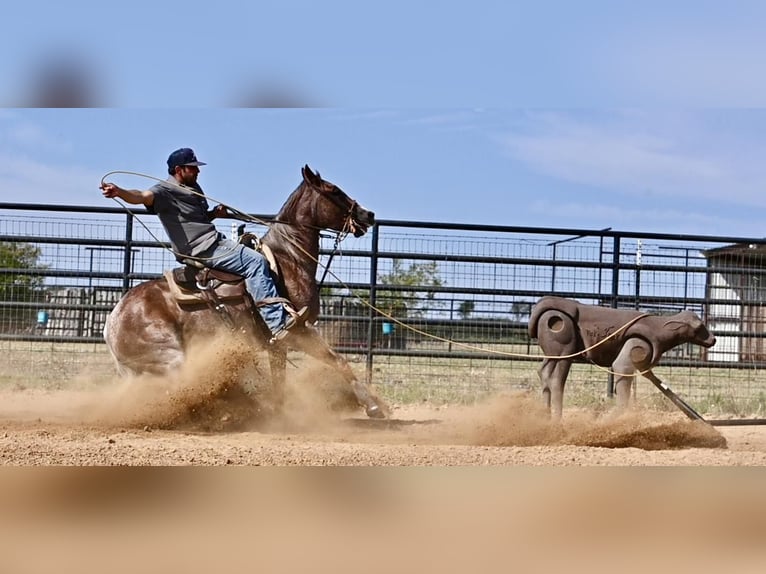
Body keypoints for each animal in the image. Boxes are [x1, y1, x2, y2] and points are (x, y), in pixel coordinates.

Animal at [105, 164, 388, 420]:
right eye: (334, 190)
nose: (369, 214)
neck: (289, 260)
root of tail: (113, 319)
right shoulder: (298, 330)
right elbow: (337, 360)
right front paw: (373, 406)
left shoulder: (278, 345)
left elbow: (280, 383)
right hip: (171, 358)